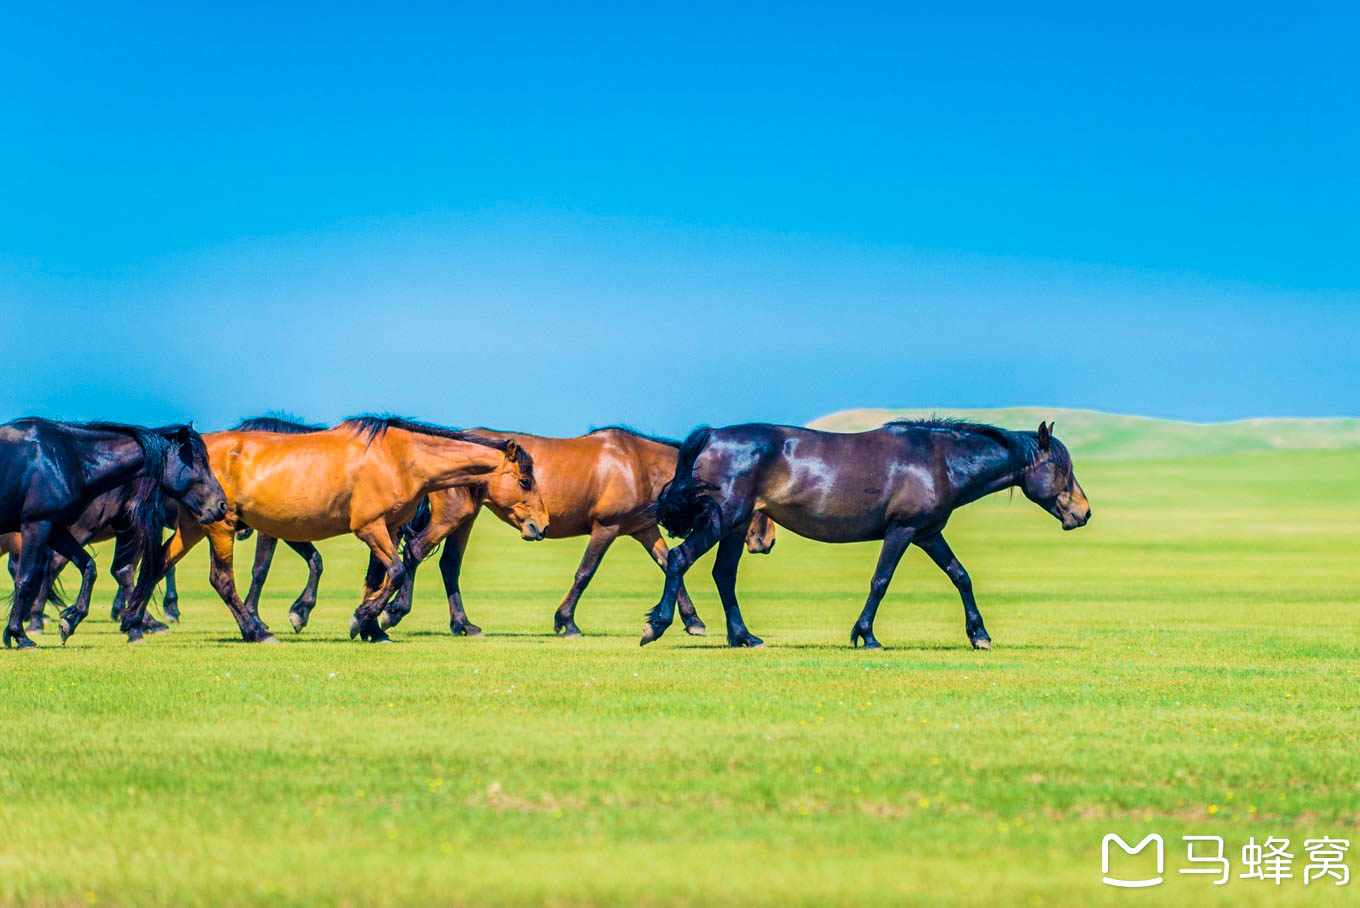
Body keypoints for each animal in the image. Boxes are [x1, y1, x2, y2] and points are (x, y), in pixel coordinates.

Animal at [0, 415, 225, 644]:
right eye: (200, 461)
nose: (222, 504)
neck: (67, 457)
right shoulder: (38, 524)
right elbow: (25, 578)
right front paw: (19, 635)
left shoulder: (55, 527)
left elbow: (89, 567)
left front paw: (71, 620)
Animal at [131, 415, 546, 641]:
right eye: (525, 480)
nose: (539, 525)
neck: (401, 457)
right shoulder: (369, 528)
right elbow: (396, 572)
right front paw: (361, 619)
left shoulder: (388, 528)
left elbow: (378, 577)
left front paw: (374, 628)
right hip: (221, 526)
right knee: (220, 579)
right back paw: (256, 632)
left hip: (193, 526)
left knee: (158, 563)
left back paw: (136, 624)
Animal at [372, 429, 783, 636]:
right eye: (759, 487)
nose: (768, 541)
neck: (637, 464)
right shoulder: (607, 528)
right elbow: (585, 573)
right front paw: (566, 621)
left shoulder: (644, 529)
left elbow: (670, 566)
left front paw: (691, 621)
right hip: (454, 516)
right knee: (415, 552)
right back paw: (395, 613)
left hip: (466, 518)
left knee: (448, 566)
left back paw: (462, 624)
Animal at [639, 421, 1093, 649]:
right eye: (1061, 468)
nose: (1084, 512)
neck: (939, 460)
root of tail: (714, 435)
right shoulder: (903, 531)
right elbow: (881, 581)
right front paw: (866, 635)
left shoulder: (928, 533)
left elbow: (960, 576)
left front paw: (979, 635)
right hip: (721, 521)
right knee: (680, 559)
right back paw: (657, 626)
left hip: (734, 526)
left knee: (724, 576)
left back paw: (743, 637)